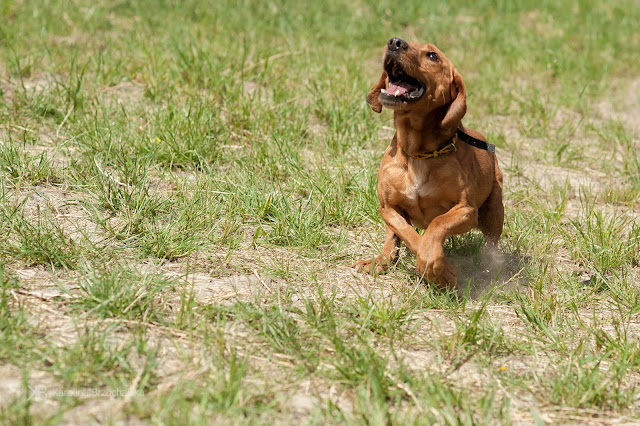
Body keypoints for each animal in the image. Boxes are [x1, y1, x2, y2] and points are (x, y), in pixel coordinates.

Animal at [350, 37, 504, 290]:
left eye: (433, 56)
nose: (394, 42)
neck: (419, 154)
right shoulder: (387, 208)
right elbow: (408, 233)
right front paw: (442, 270)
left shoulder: (466, 210)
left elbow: (436, 225)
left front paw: (438, 269)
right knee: (392, 238)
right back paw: (380, 260)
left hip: (494, 211)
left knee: (490, 246)